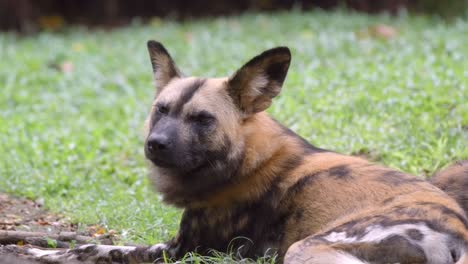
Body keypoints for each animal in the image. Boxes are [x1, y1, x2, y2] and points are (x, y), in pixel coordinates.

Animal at [144, 41, 468, 262]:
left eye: (202, 119)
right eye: (161, 110)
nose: (155, 143)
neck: (245, 160)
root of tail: (457, 233)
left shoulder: (180, 251)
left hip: (306, 248)